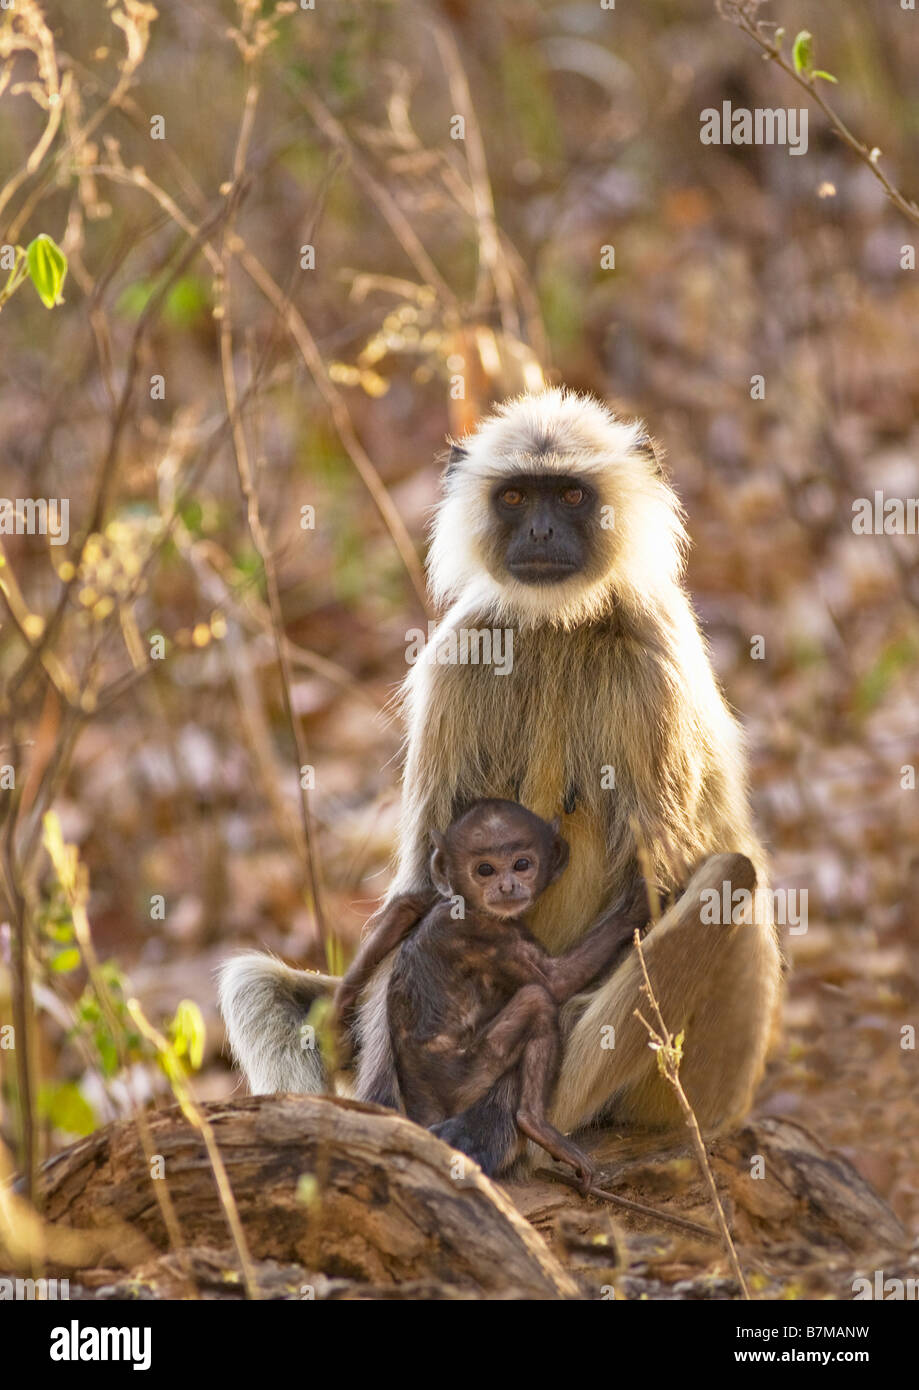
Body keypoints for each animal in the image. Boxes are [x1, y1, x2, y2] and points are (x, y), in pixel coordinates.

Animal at [333, 799, 641, 1184]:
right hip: (469, 1075)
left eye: (522, 864)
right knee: (538, 1000)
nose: (507, 887)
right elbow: (553, 982)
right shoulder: (486, 932)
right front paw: (637, 906)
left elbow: (405, 909)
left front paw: (340, 1004)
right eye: (484, 870)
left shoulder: (443, 898)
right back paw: (534, 1124)